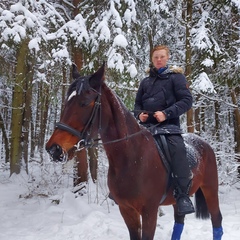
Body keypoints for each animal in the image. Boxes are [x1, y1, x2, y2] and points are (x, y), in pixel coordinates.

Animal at [45, 62, 223, 239]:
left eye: (84, 103)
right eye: (66, 102)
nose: (53, 149)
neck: (131, 157)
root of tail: (205, 144)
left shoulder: (150, 211)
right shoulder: (126, 210)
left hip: (210, 189)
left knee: (216, 220)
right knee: (179, 220)